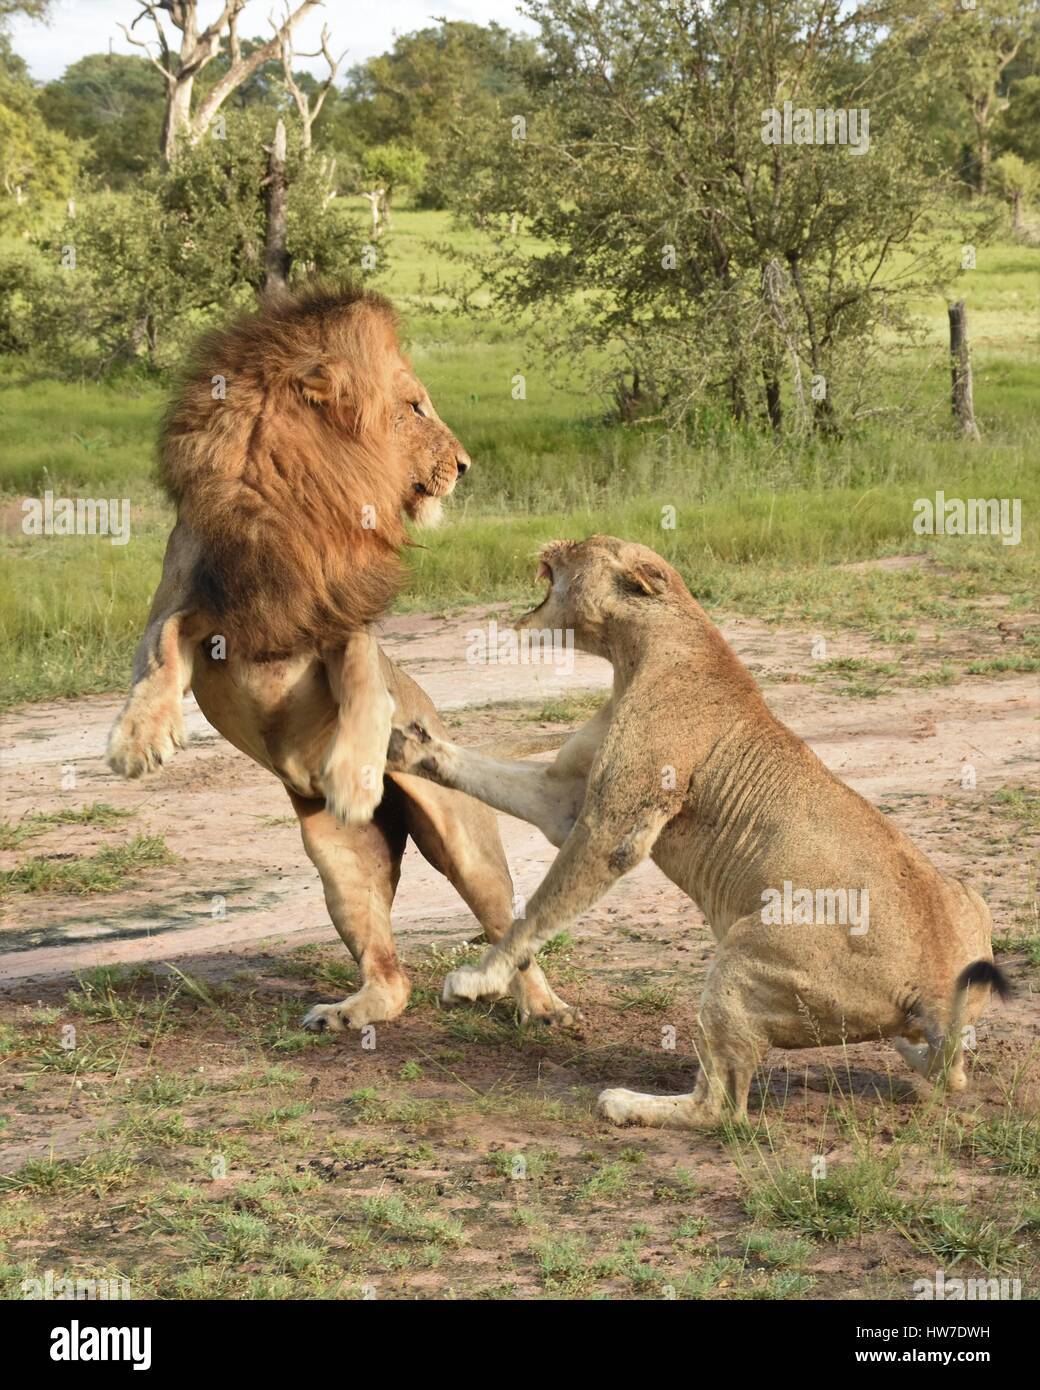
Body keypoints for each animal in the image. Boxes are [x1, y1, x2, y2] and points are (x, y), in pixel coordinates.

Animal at [389, 533, 1006, 1128]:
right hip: (970, 901)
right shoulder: (560, 799)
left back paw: (625, 1104)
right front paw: (406, 746)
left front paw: (476, 981)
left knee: (723, 1108)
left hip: (745, 956)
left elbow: (537, 912)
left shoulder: (613, 824)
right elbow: (476, 770)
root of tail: (934, 992)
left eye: (582, 545)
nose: (551, 544)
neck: (636, 652)